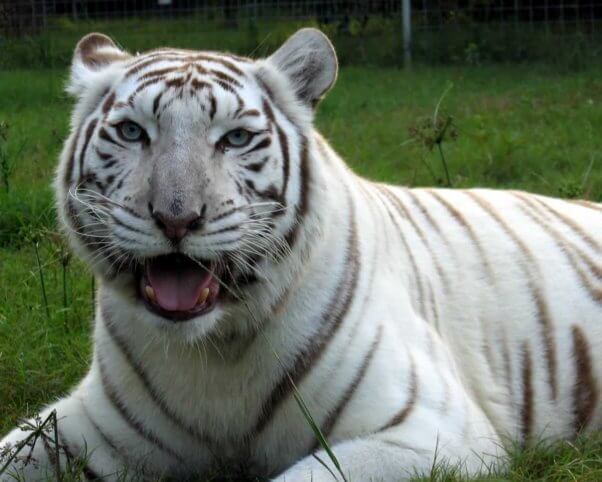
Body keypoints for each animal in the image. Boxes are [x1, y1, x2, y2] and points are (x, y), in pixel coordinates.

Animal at [1, 28, 600, 482]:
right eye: (131, 132)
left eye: (235, 139)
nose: (176, 218)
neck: (211, 351)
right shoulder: (92, 425)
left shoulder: (431, 430)